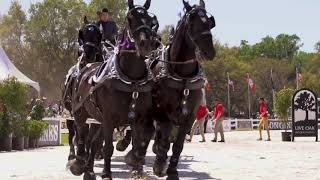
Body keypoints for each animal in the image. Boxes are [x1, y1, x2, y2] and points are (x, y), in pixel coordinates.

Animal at [69, 0, 161, 179]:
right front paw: (106, 173)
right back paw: (78, 163)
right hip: (81, 113)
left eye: (150, 20)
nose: (147, 43)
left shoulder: (140, 117)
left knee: (93, 141)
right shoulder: (109, 118)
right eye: (130, 18)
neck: (131, 79)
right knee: (81, 135)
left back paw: (89, 170)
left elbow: (141, 140)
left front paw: (137, 166)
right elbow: (107, 148)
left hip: (98, 120)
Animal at [149, 0, 215, 179]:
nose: (209, 51)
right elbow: (165, 141)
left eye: (210, 22)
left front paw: (172, 170)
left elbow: (178, 145)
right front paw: (160, 165)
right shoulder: (165, 112)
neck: (182, 76)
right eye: (191, 22)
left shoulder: (190, 115)